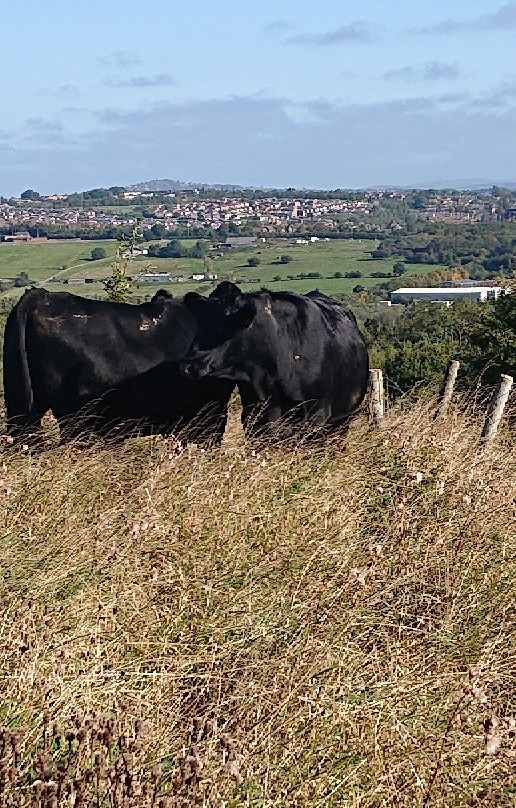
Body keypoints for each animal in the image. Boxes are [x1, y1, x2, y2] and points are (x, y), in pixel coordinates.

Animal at [179, 282, 368, 438]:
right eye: (199, 323)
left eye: (223, 326)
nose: (186, 365)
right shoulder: (255, 418)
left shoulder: (317, 416)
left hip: (342, 420)